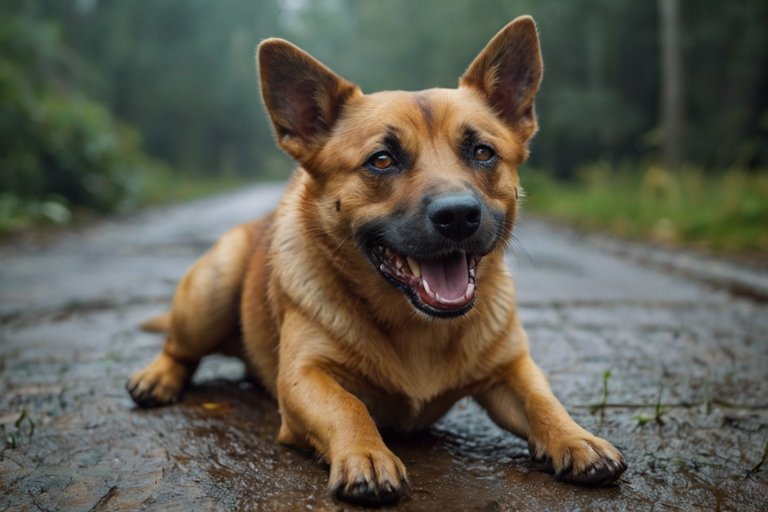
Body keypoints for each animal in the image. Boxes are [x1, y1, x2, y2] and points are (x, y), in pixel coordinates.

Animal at [126, 16, 628, 504]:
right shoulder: (305, 376)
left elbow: (544, 399)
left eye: (483, 152)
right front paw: (367, 454)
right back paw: (158, 377)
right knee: (178, 348)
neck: (417, 328)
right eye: (382, 160)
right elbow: (348, 406)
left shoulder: (512, 369)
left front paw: (575, 438)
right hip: (213, 289)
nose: (458, 216)